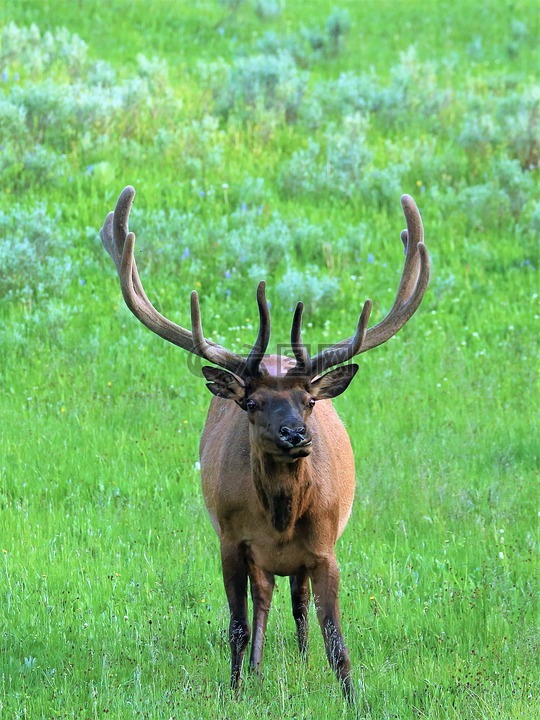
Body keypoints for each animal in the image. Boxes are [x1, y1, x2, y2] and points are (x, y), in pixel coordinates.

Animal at [100, 187, 430, 704]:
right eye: (252, 403)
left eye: (309, 400)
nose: (295, 435)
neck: (281, 517)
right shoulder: (231, 541)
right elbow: (236, 625)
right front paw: (236, 688)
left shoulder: (325, 547)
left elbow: (336, 636)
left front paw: (350, 696)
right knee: (265, 599)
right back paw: (257, 670)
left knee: (296, 601)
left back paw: (300, 657)